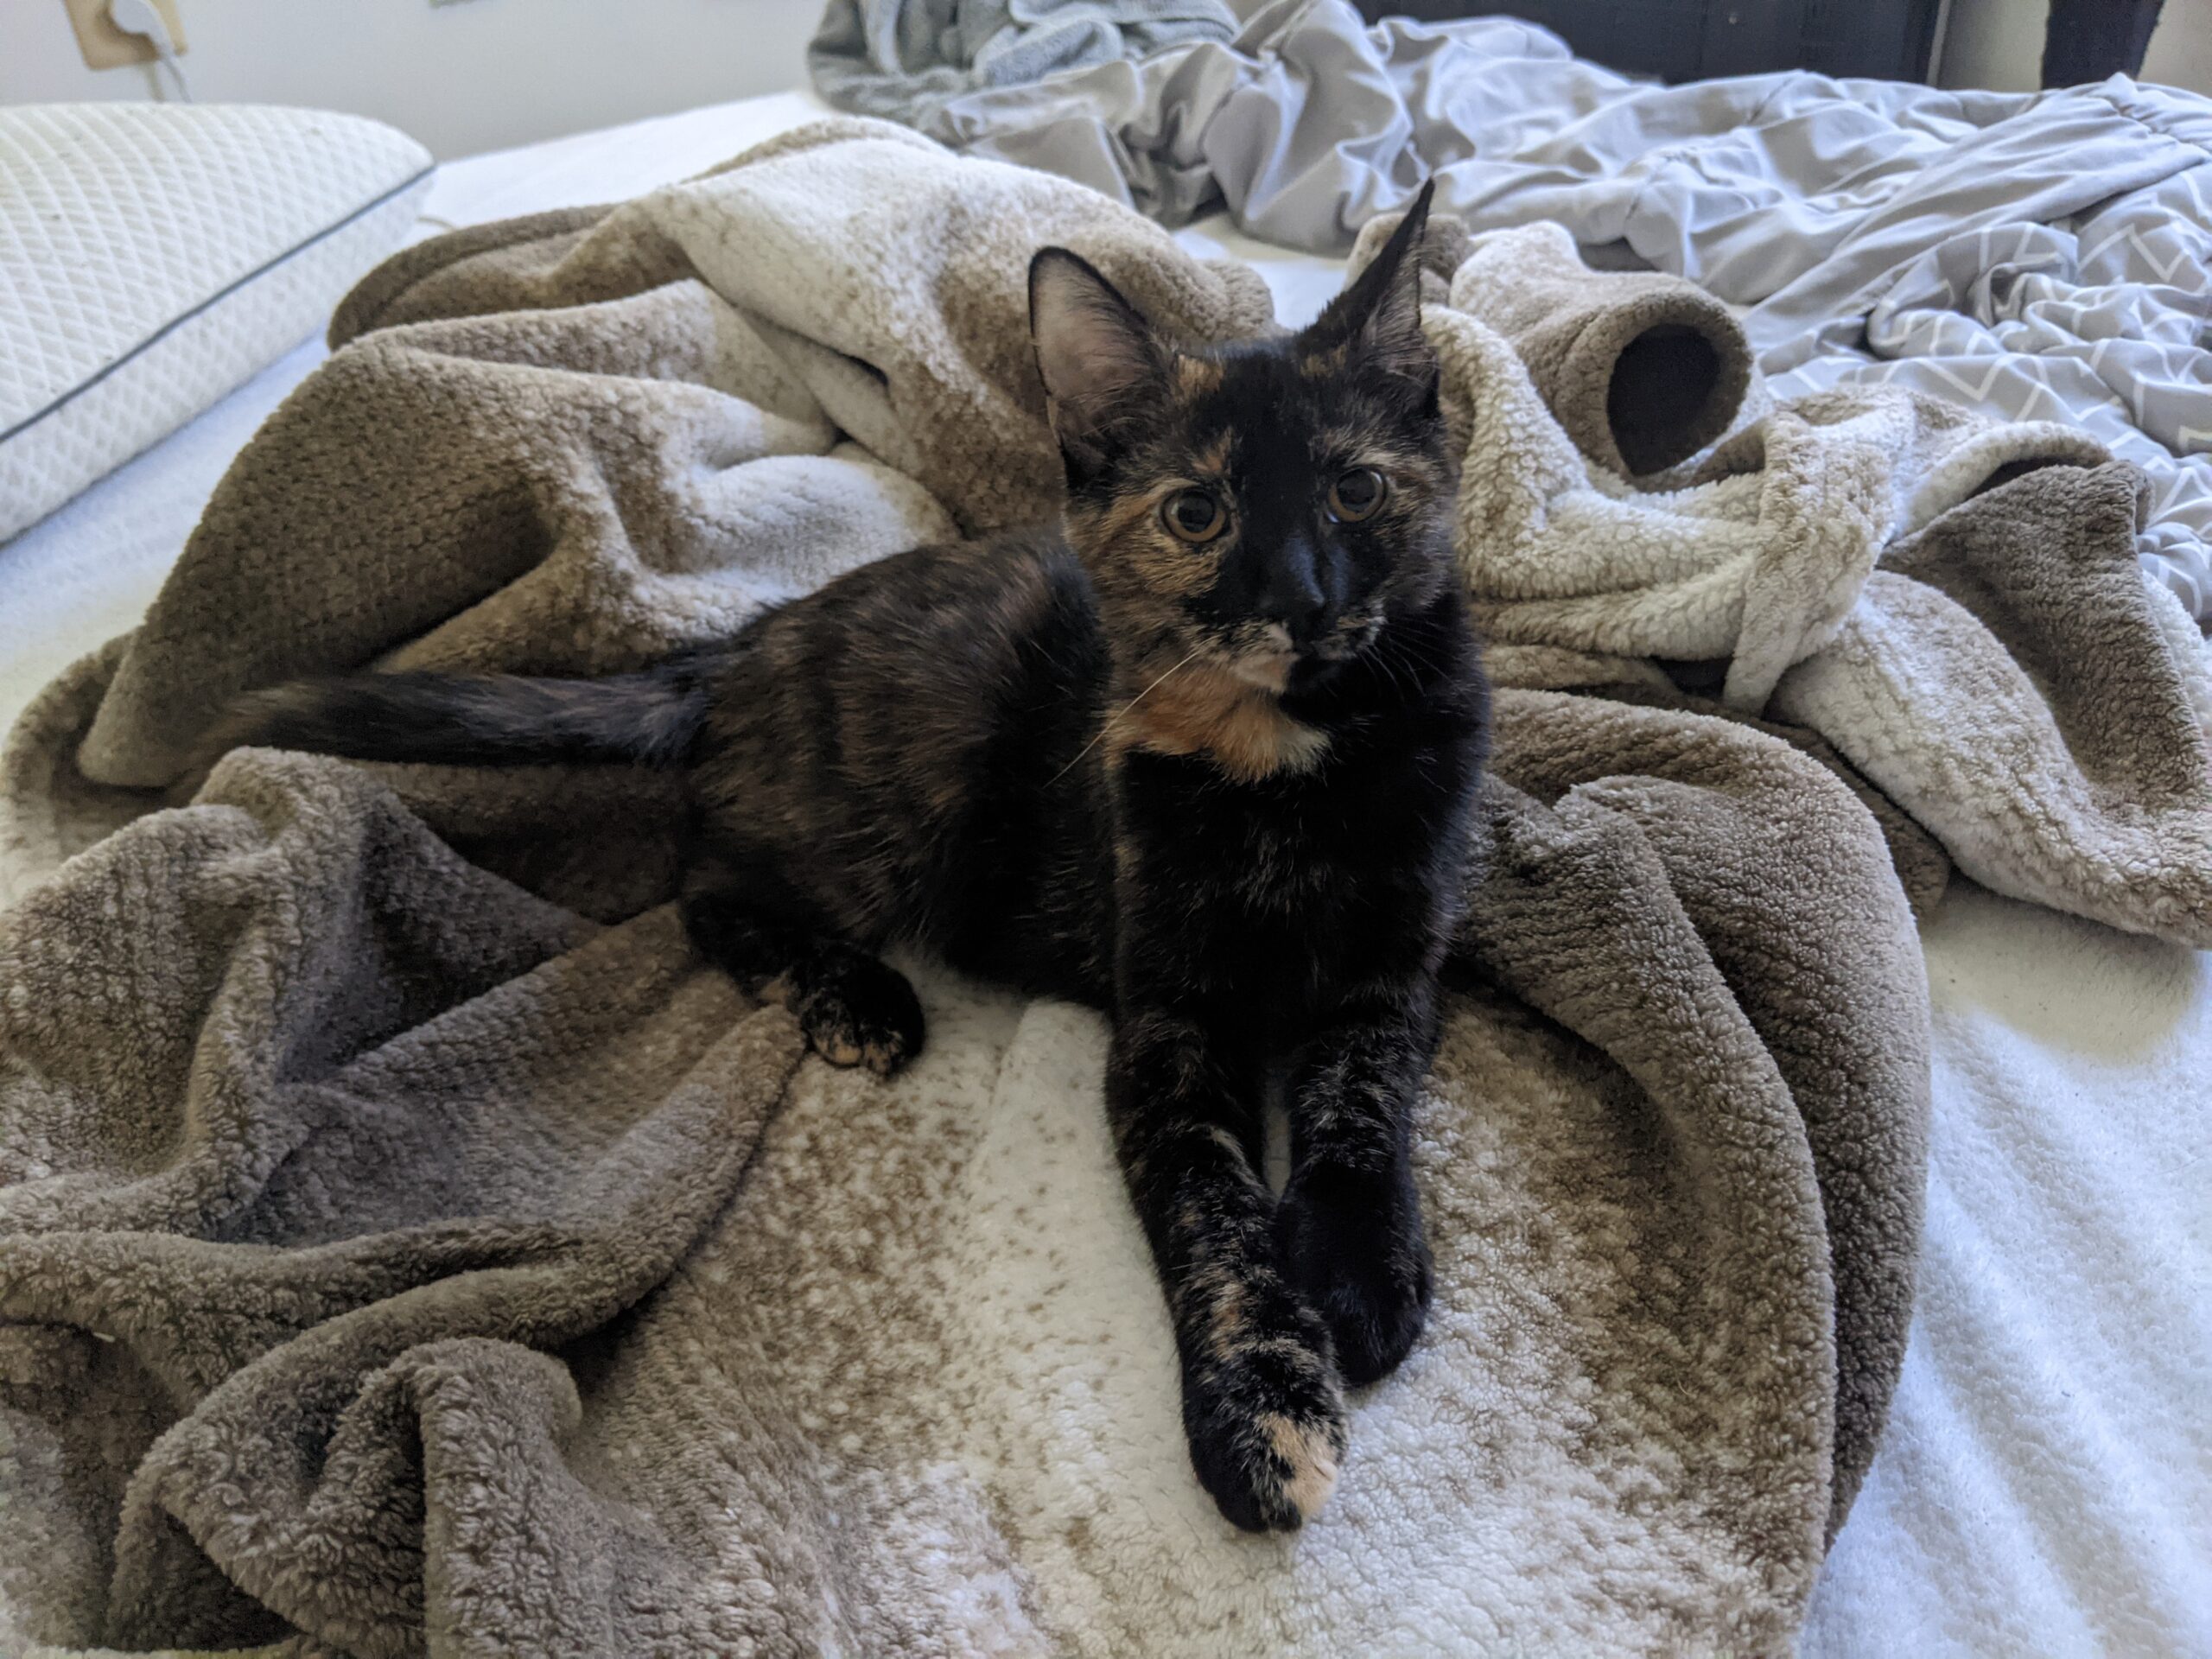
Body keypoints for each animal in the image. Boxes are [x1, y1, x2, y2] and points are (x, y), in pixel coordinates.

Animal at [209, 185, 1489, 1533]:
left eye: (1357, 493)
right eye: (1197, 514)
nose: (1302, 602)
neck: (1291, 765)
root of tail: (744, 640)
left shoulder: (1396, 969)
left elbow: (1359, 1106)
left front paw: (1359, 1270)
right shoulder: (1166, 1034)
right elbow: (1213, 1213)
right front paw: (1260, 1407)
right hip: (913, 787)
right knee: (703, 888)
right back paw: (853, 996)